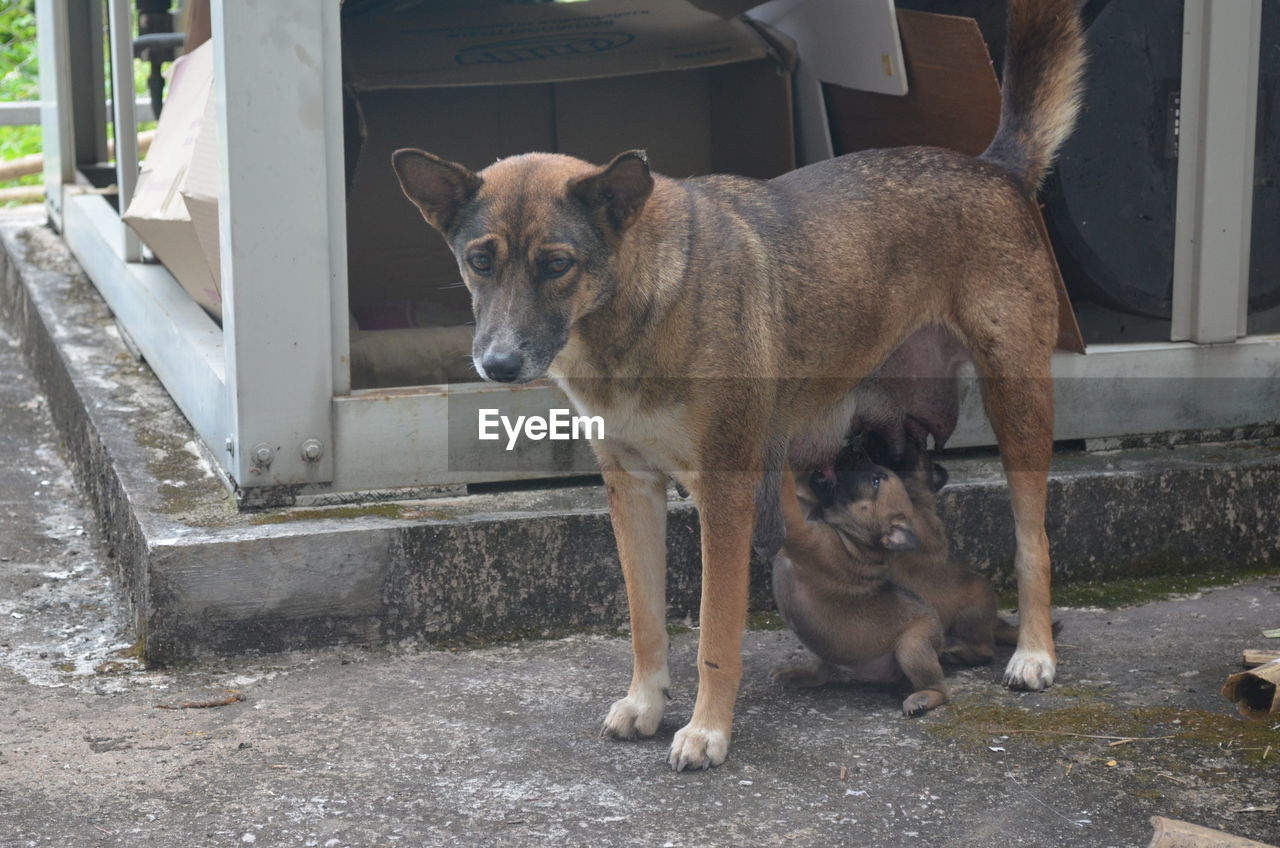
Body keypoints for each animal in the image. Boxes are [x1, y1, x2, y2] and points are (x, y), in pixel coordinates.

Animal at [768, 445, 952, 717]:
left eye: (876, 481)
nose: (855, 450)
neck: (854, 538)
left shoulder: (801, 531)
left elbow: (787, 489)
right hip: (824, 647)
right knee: (821, 673)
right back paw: (800, 675)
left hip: (913, 646)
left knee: (941, 688)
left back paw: (924, 697)